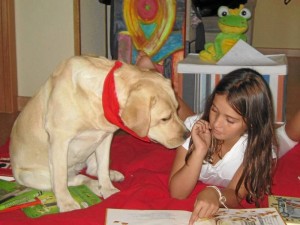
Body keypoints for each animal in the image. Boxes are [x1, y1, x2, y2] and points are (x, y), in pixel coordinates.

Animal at [9, 56, 190, 213]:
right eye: (165, 118)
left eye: (177, 109)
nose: (187, 135)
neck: (103, 94)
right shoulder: (60, 139)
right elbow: (60, 180)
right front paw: (66, 203)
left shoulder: (105, 137)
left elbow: (103, 168)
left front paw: (109, 189)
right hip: (31, 176)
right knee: (73, 178)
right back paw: (93, 185)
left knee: (92, 169)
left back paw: (110, 176)